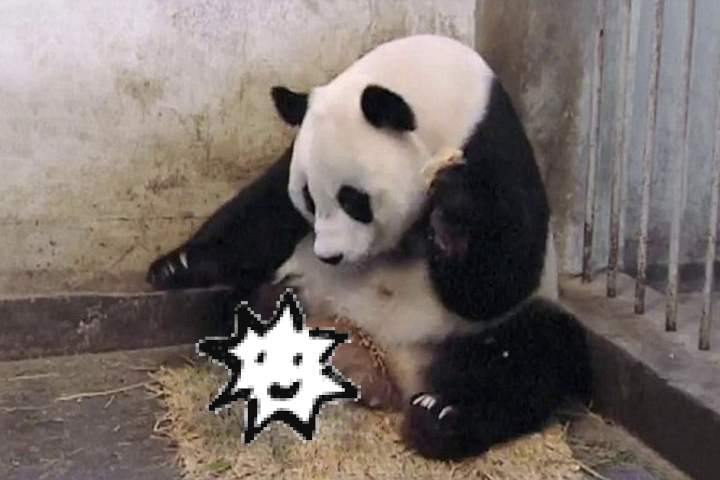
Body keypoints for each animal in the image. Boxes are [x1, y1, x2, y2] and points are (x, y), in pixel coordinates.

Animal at [147, 34, 592, 461]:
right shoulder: (299, 150)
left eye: (354, 199)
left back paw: (440, 417)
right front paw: (177, 266)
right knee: (248, 309)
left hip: (466, 338)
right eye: (309, 198)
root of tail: (387, 369)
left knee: (536, 352)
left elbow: (499, 279)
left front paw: (453, 210)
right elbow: (264, 210)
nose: (329, 256)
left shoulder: (494, 150)